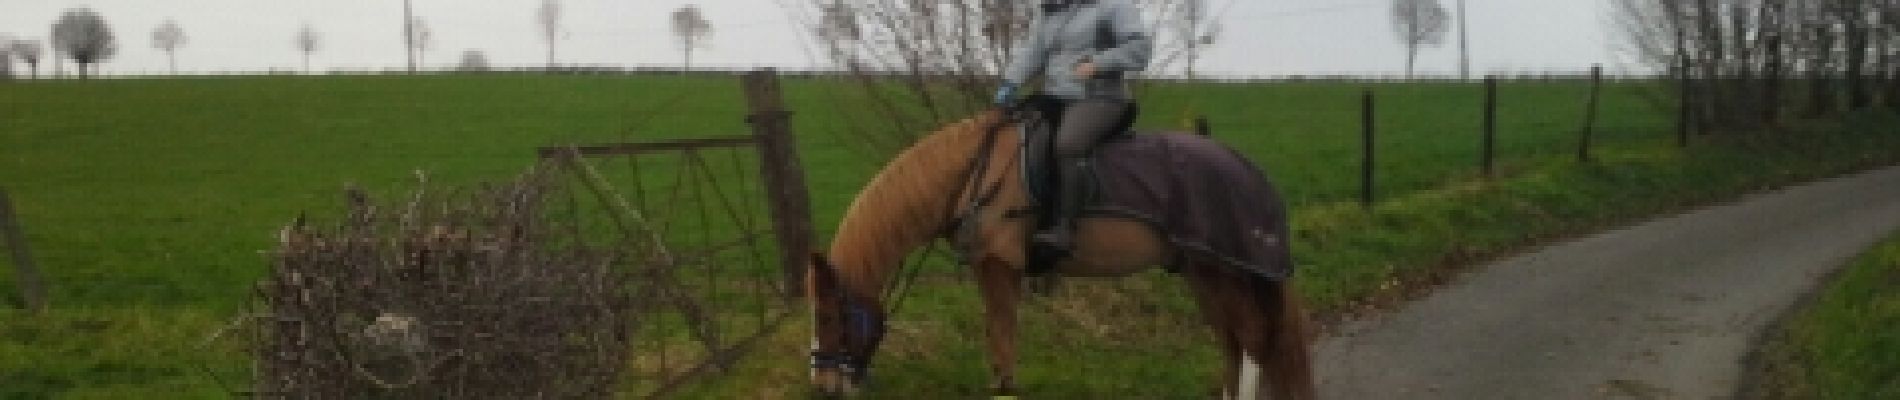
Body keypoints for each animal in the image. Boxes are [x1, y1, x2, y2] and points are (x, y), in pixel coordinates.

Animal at [805, 107, 1322, 398]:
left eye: (829, 316)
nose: (822, 387)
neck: (972, 175)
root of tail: (1246, 168)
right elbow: (999, 340)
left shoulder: (997, 267)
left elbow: (1002, 340)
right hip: (1204, 274)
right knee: (1234, 342)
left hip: (1224, 273)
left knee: (1253, 341)